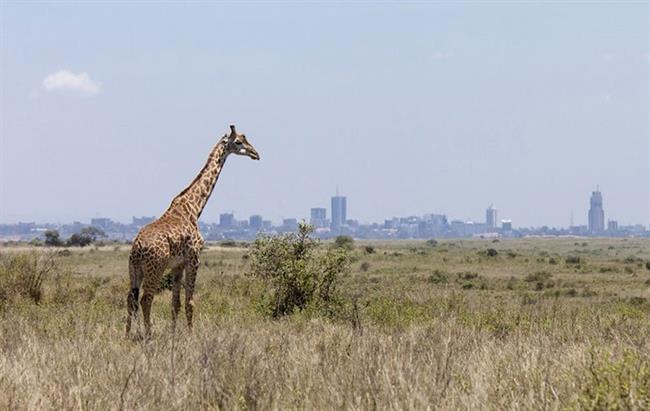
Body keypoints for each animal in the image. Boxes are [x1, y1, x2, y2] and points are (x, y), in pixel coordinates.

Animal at [124, 124, 258, 338]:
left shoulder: (177, 265)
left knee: (131, 299)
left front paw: (173, 335)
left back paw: (127, 335)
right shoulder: (194, 258)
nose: (255, 153)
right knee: (146, 299)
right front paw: (190, 334)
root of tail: (137, 249)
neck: (194, 208)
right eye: (238, 142)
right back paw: (149, 335)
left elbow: (175, 303)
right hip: (155, 268)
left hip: (134, 270)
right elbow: (190, 302)